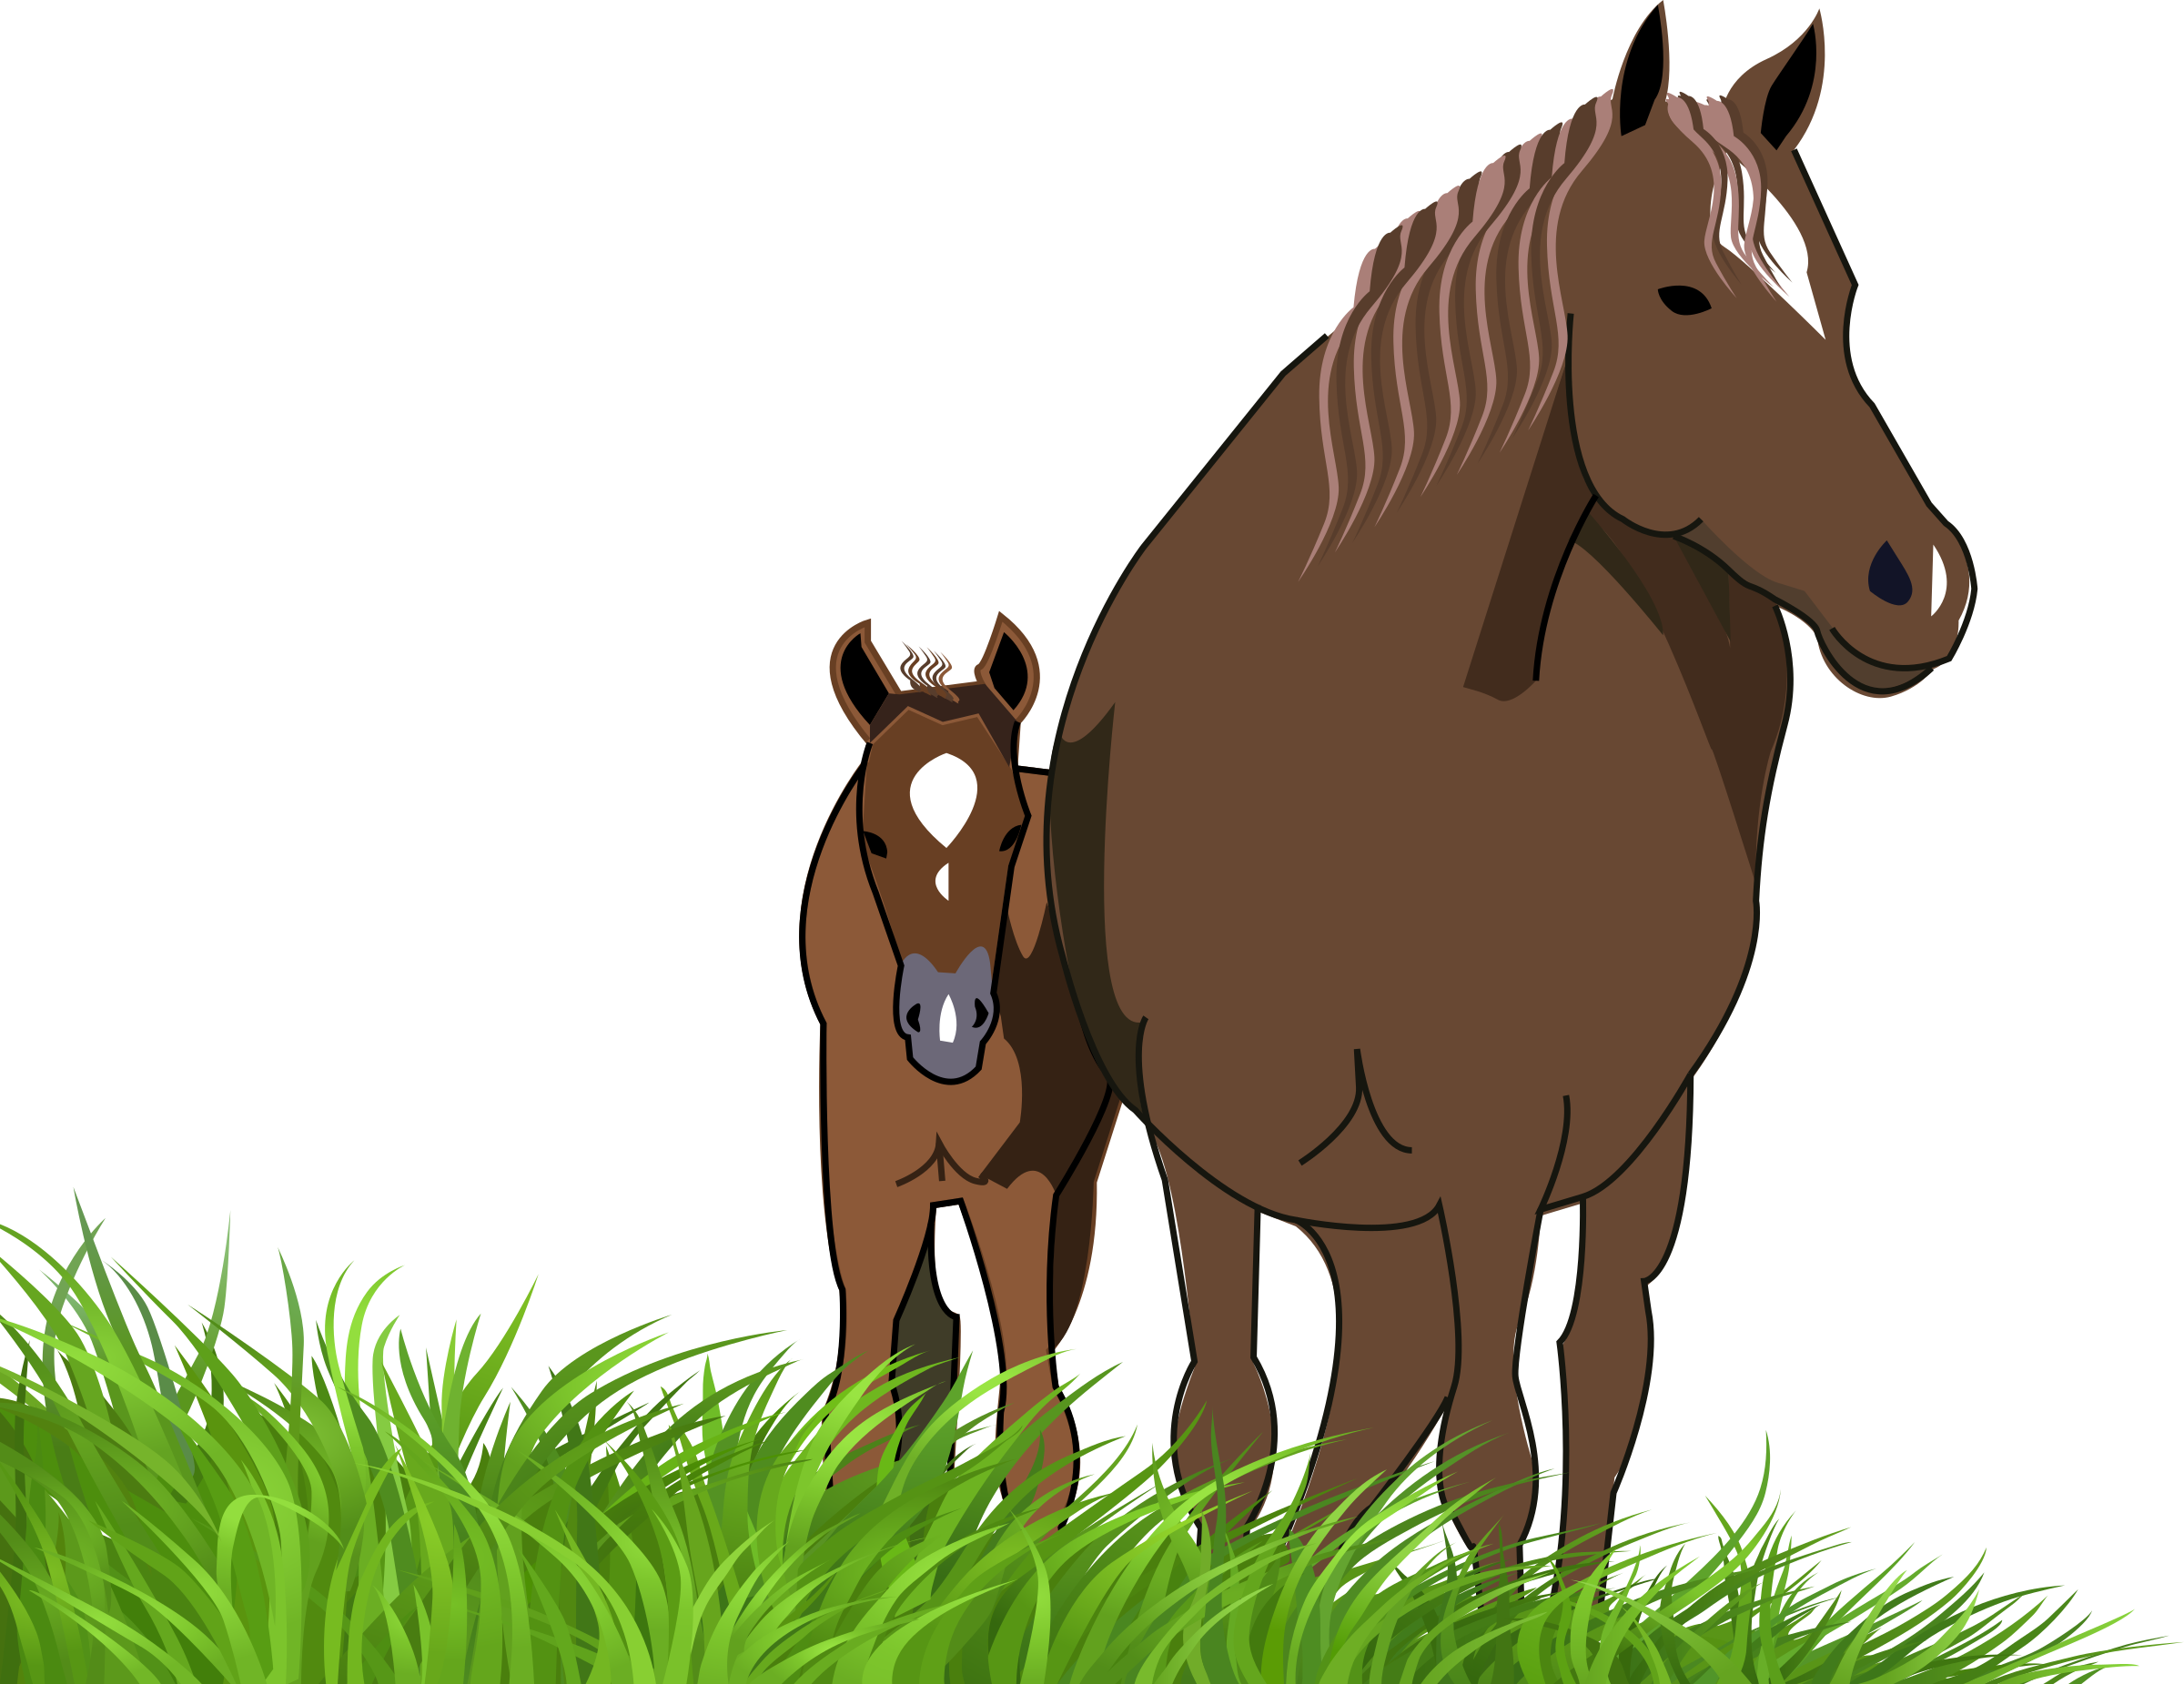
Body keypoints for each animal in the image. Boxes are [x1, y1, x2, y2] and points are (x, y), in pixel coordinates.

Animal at [804, 612, 1119, 1521]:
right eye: (874, 837)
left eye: (1011, 832)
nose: (947, 1024)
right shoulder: (869, 1180)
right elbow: (865, 1410)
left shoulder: (1020, 1184)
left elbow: (1036, 1422)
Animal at [1044, 5, 1972, 1586]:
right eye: (1681, 296)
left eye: (1838, 299)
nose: (1913, 582)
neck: (1344, 772)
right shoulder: (1194, 1137)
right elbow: (1231, 1418)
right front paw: (1246, 1602)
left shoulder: (1500, 1141)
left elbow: (1495, 1453)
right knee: (1393, 1370)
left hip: (1627, 1138)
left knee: (1596, 1367)